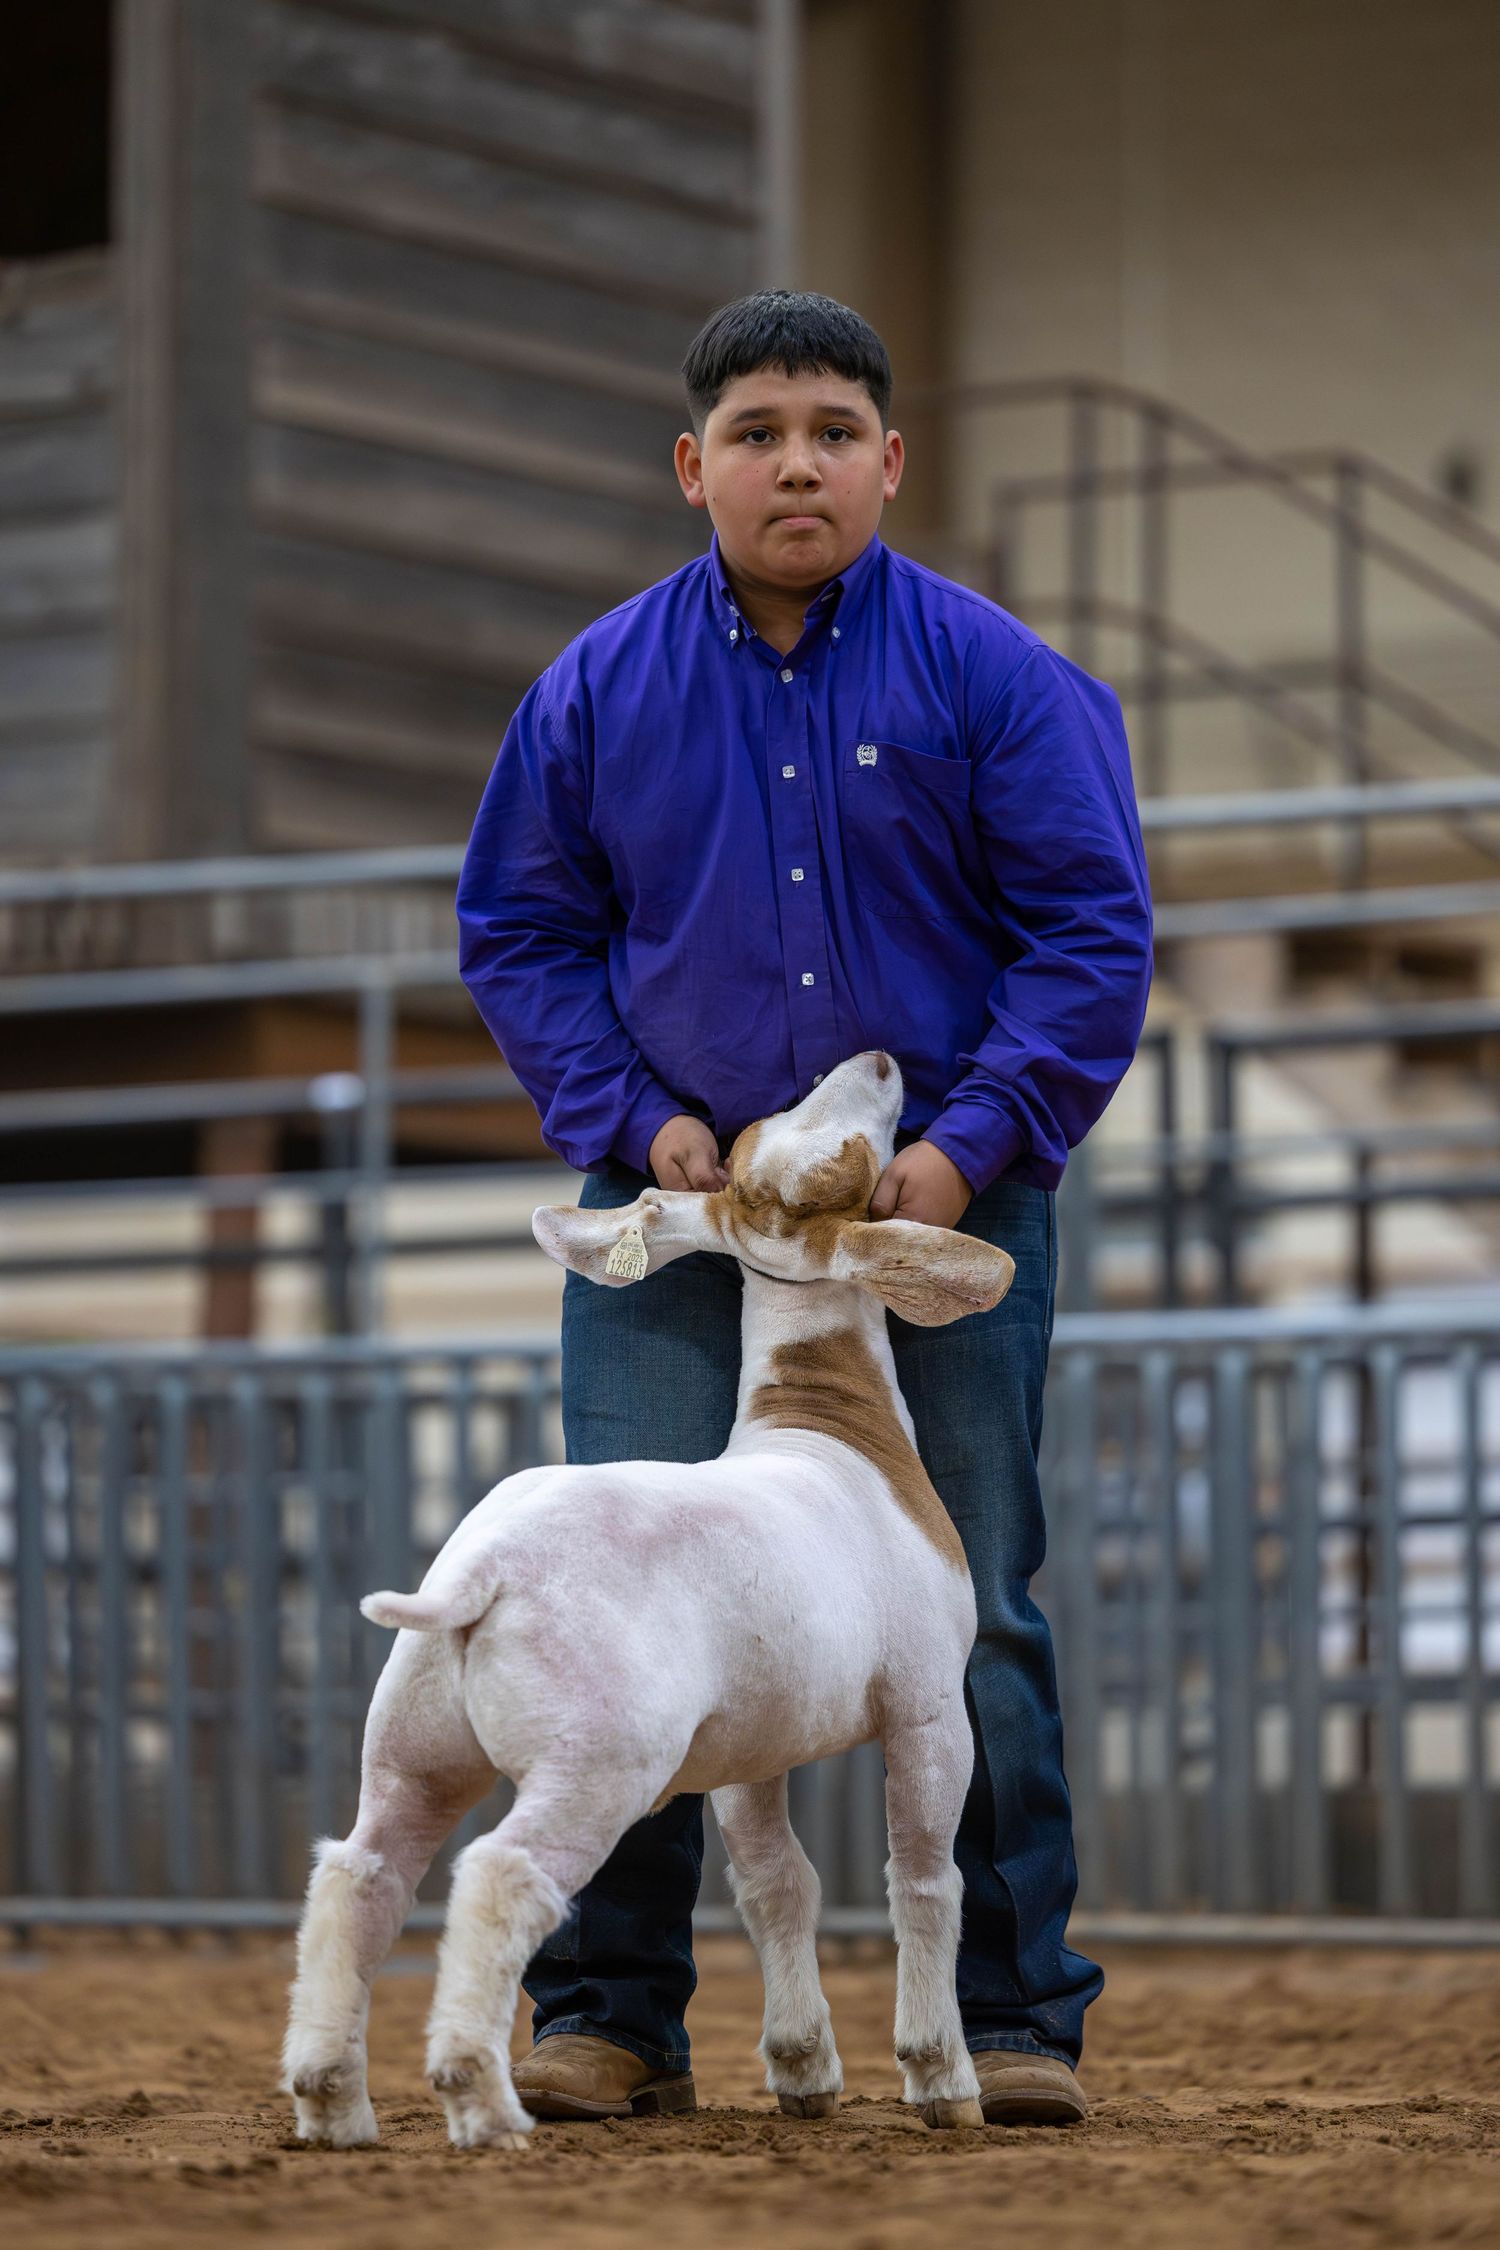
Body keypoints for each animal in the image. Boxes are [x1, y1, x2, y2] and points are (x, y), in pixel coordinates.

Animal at [281, 1048, 1014, 2150]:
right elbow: (925, 1878)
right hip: (598, 1757)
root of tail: (483, 1572)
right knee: (500, 1875)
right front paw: (941, 2079)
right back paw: (482, 2101)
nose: (880, 1059)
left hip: (415, 1738)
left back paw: (333, 2100)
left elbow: (777, 1881)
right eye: (840, 1157)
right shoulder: (929, 1703)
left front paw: (804, 2068)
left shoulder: (756, 1736)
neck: (830, 1430)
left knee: (362, 1871)